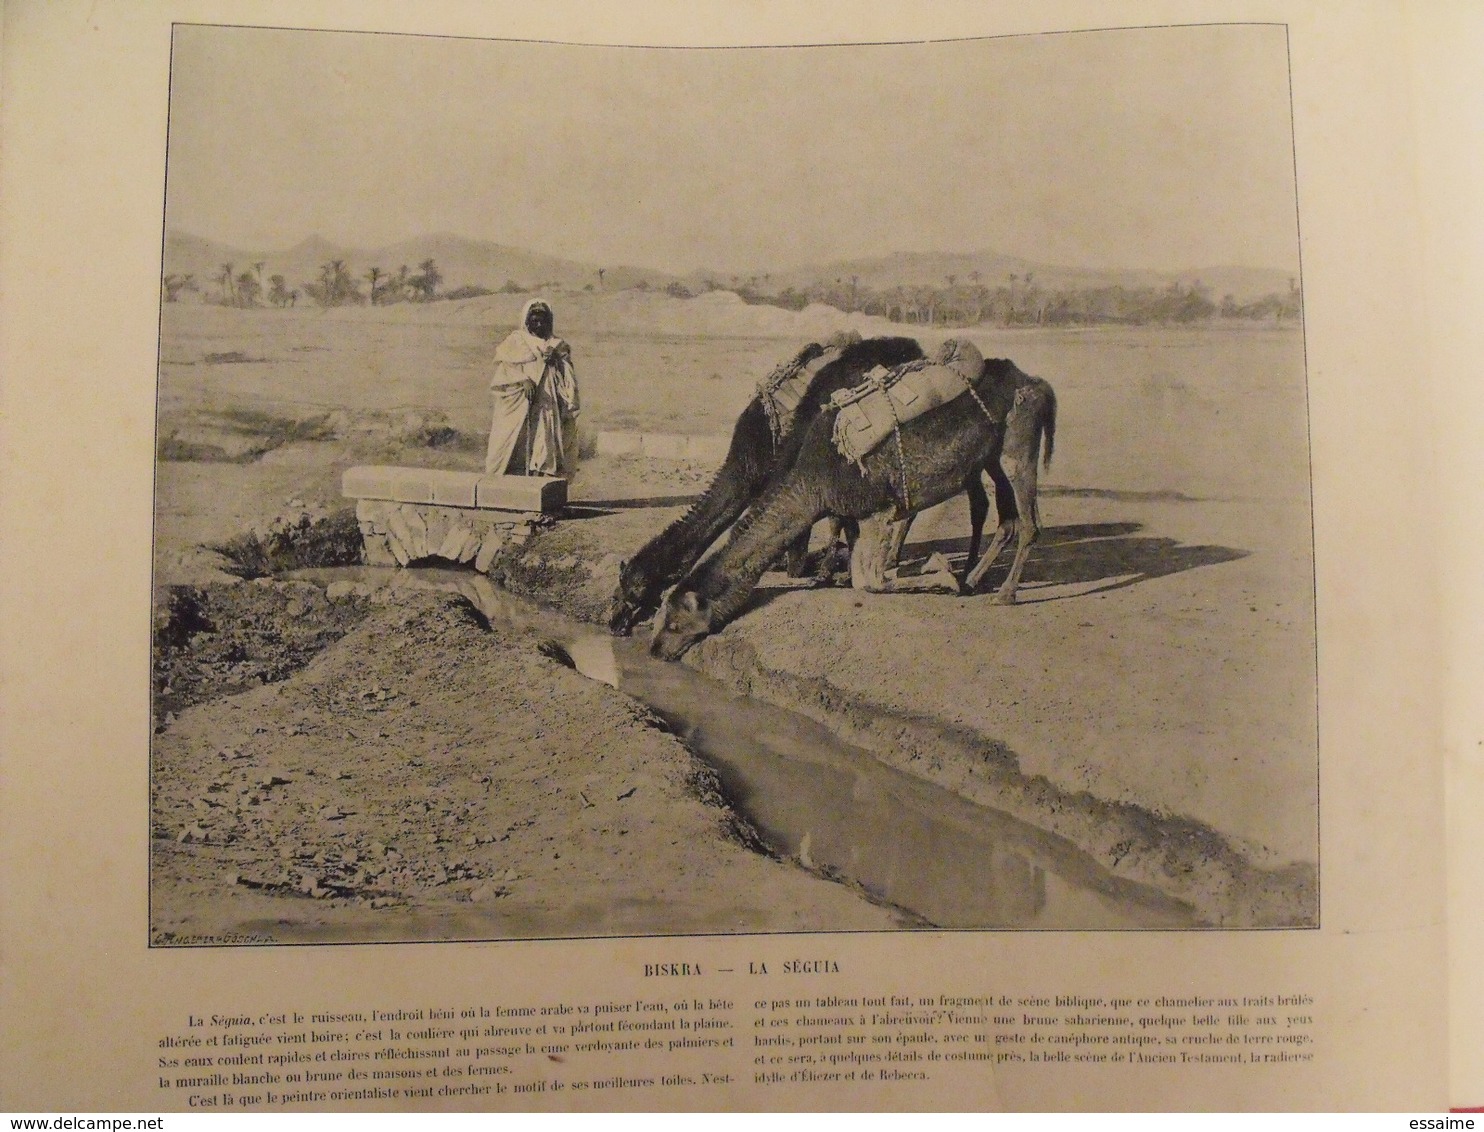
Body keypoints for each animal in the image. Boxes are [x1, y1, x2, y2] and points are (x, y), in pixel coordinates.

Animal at [608, 333, 920, 637]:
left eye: (631, 590)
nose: (613, 622)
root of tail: (914, 347)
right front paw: (829, 566)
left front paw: (819, 569)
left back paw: (890, 559)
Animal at [649, 350, 1056, 658]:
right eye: (659, 617)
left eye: (675, 623)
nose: (654, 650)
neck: (813, 480)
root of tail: (1038, 383)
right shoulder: (853, 514)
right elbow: (856, 564)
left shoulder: (877, 511)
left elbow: (870, 583)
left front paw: (940, 573)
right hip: (991, 457)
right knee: (1006, 519)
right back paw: (973, 579)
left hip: (1019, 442)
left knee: (1029, 520)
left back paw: (1003, 594)